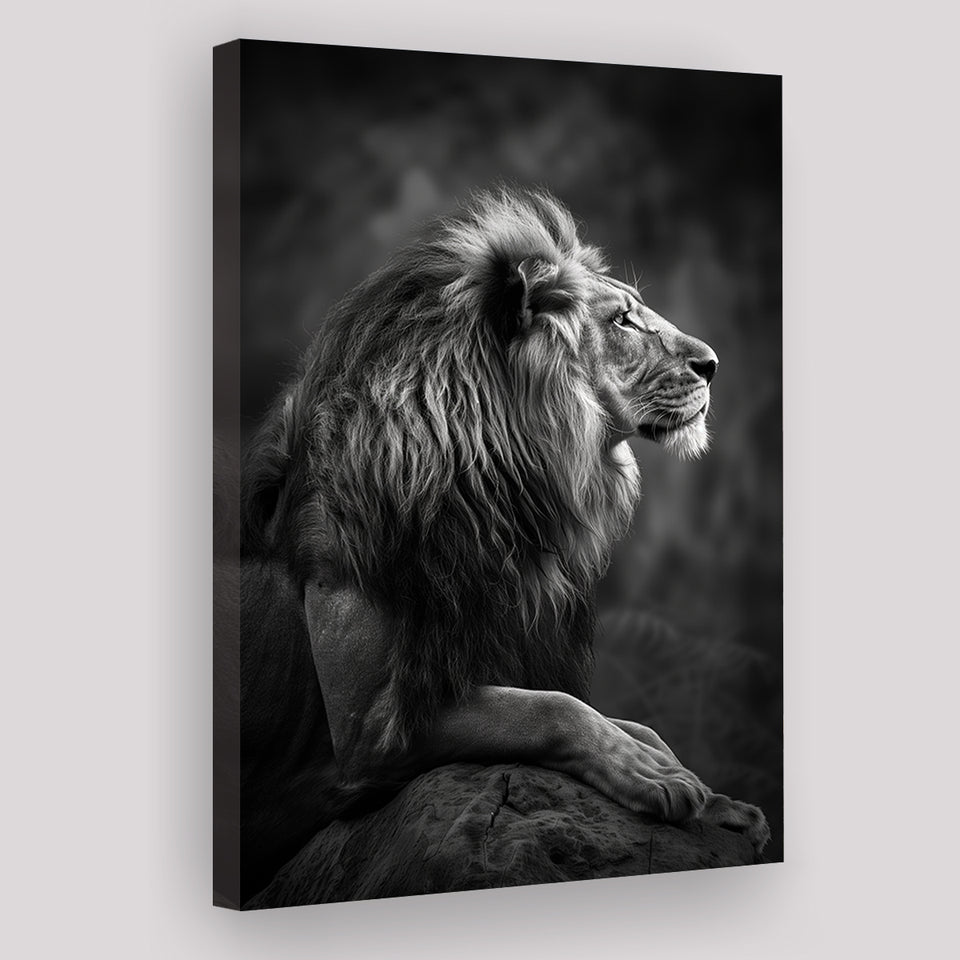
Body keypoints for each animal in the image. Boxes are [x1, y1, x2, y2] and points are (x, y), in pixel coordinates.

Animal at [229, 187, 769, 905]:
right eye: (623, 321)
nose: (712, 365)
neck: (497, 491)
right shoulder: (368, 733)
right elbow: (555, 710)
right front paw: (654, 776)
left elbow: (628, 721)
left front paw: (712, 797)